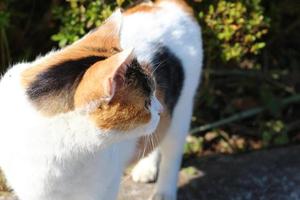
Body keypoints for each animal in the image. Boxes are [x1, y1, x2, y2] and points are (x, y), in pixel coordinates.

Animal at [0, 0, 204, 200]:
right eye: (146, 103)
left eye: (153, 92)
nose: (160, 109)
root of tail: (170, 4)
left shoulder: (104, 188)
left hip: (181, 111)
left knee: (172, 151)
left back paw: (163, 193)